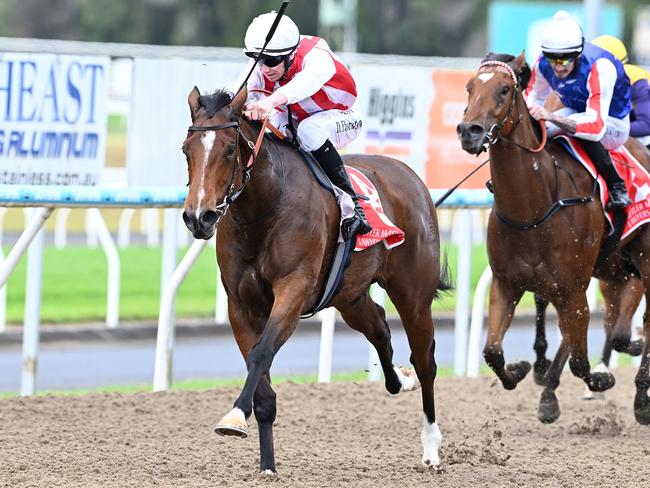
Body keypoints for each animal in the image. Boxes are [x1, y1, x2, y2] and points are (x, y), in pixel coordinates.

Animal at [180, 86, 448, 472]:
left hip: (413, 293)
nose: (197, 217)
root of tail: (407, 173)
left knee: (425, 360)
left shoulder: (293, 290)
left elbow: (261, 353)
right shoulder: (240, 305)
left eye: (230, 149)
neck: (266, 206)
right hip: (350, 296)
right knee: (380, 326)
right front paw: (267, 464)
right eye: (186, 149)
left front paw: (234, 416)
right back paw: (400, 380)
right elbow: (261, 383)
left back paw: (431, 447)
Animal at [454, 53, 648, 426]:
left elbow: (581, 362)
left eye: (504, 89)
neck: (532, 207)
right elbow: (493, 351)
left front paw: (601, 378)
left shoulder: (573, 288)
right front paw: (522, 370)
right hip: (611, 271)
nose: (470, 131)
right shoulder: (508, 283)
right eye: (469, 87)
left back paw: (641, 395)